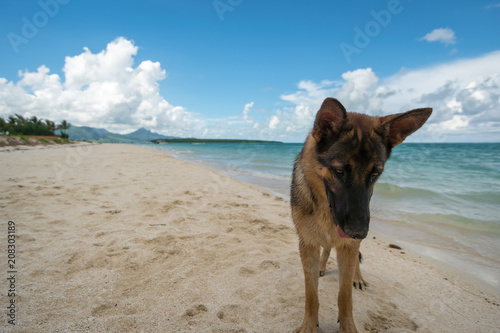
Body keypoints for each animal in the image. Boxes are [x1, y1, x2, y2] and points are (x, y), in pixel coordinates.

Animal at [292, 98, 432, 332]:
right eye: (340, 171)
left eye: (375, 173)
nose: (358, 232)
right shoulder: (308, 245)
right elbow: (311, 294)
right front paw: (309, 325)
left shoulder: (348, 246)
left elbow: (345, 295)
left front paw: (347, 325)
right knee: (327, 249)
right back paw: (323, 266)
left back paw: (357, 277)